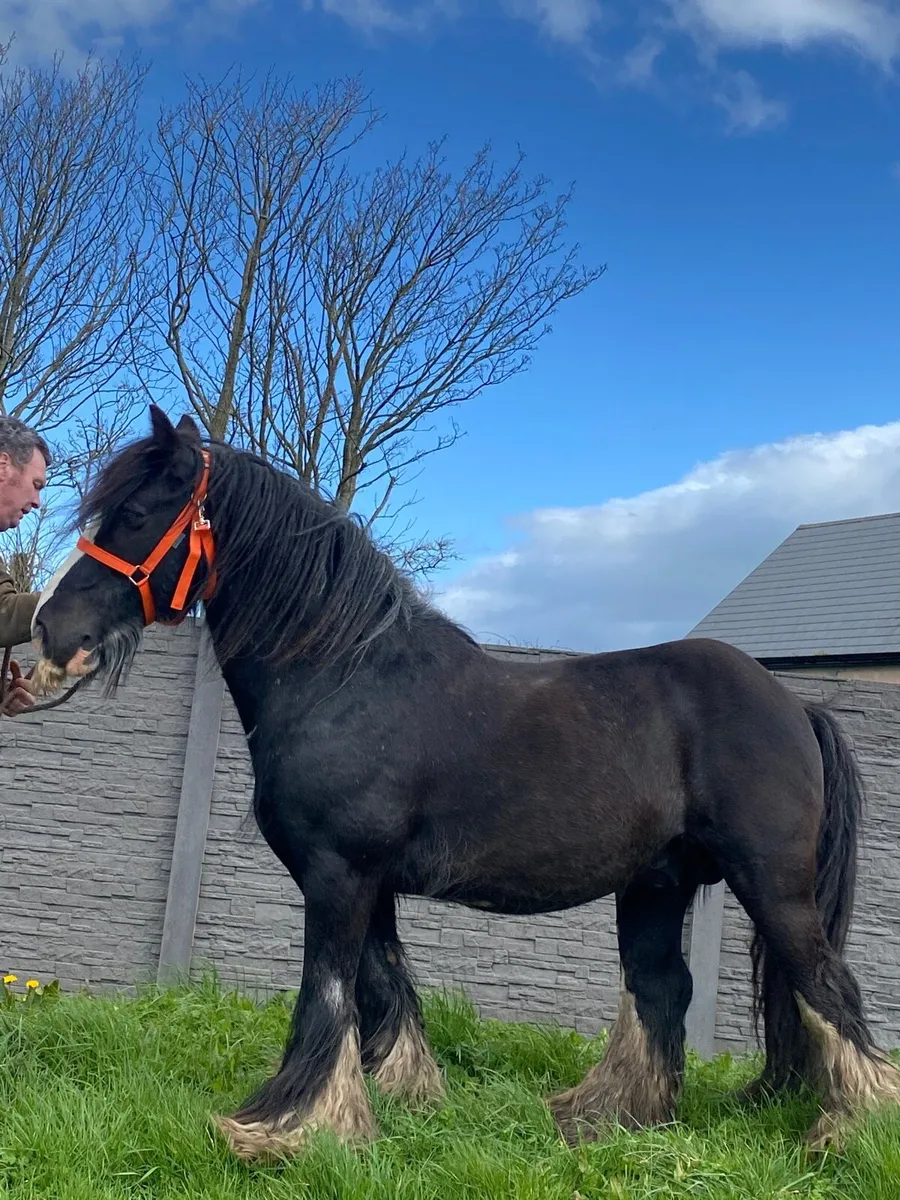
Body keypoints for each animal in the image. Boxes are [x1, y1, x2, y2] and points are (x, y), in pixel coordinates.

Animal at [29, 404, 900, 1160]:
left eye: (137, 514)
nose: (48, 629)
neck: (346, 676)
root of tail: (795, 704)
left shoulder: (338, 876)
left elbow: (328, 995)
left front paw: (285, 1130)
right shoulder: (366, 883)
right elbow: (384, 988)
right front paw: (392, 1102)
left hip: (773, 886)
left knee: (829, 990)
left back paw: (848, 1135)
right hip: (656, 885)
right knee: (663, 989)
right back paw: (605, 1119)